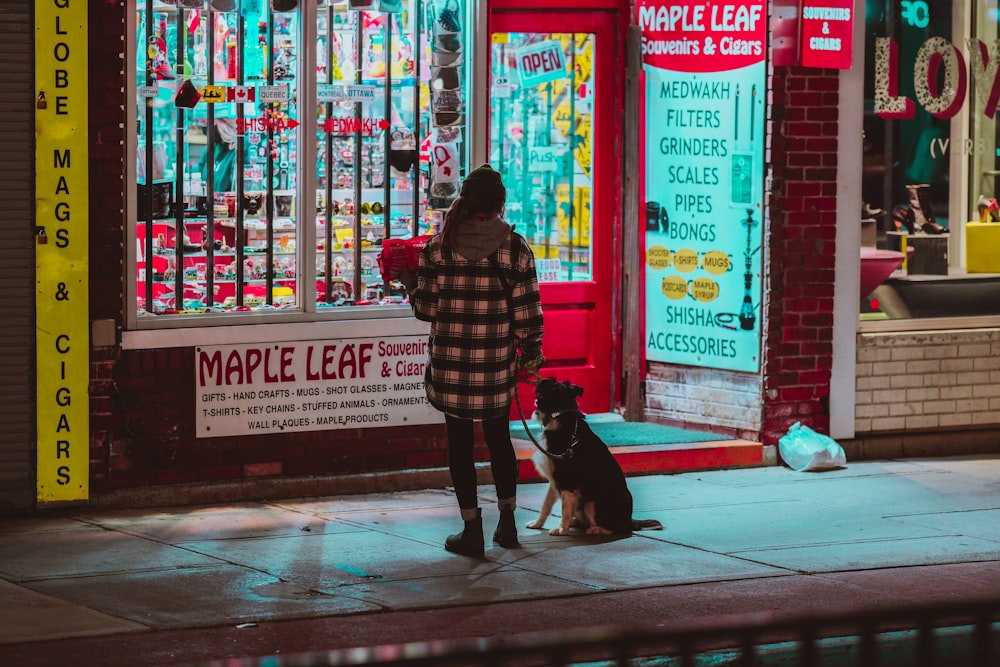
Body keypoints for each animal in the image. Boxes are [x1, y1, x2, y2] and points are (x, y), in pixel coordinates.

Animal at [524, 380, 664, 536]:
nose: (537, 399)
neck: (560, 413)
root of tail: (629, 520)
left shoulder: (566, 479)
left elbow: (565, 509)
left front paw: (561, 530)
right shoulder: (554, 479)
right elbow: (546, 504)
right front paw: (537, 524)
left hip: (591, 503)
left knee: (617, 528)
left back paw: (596, 529)